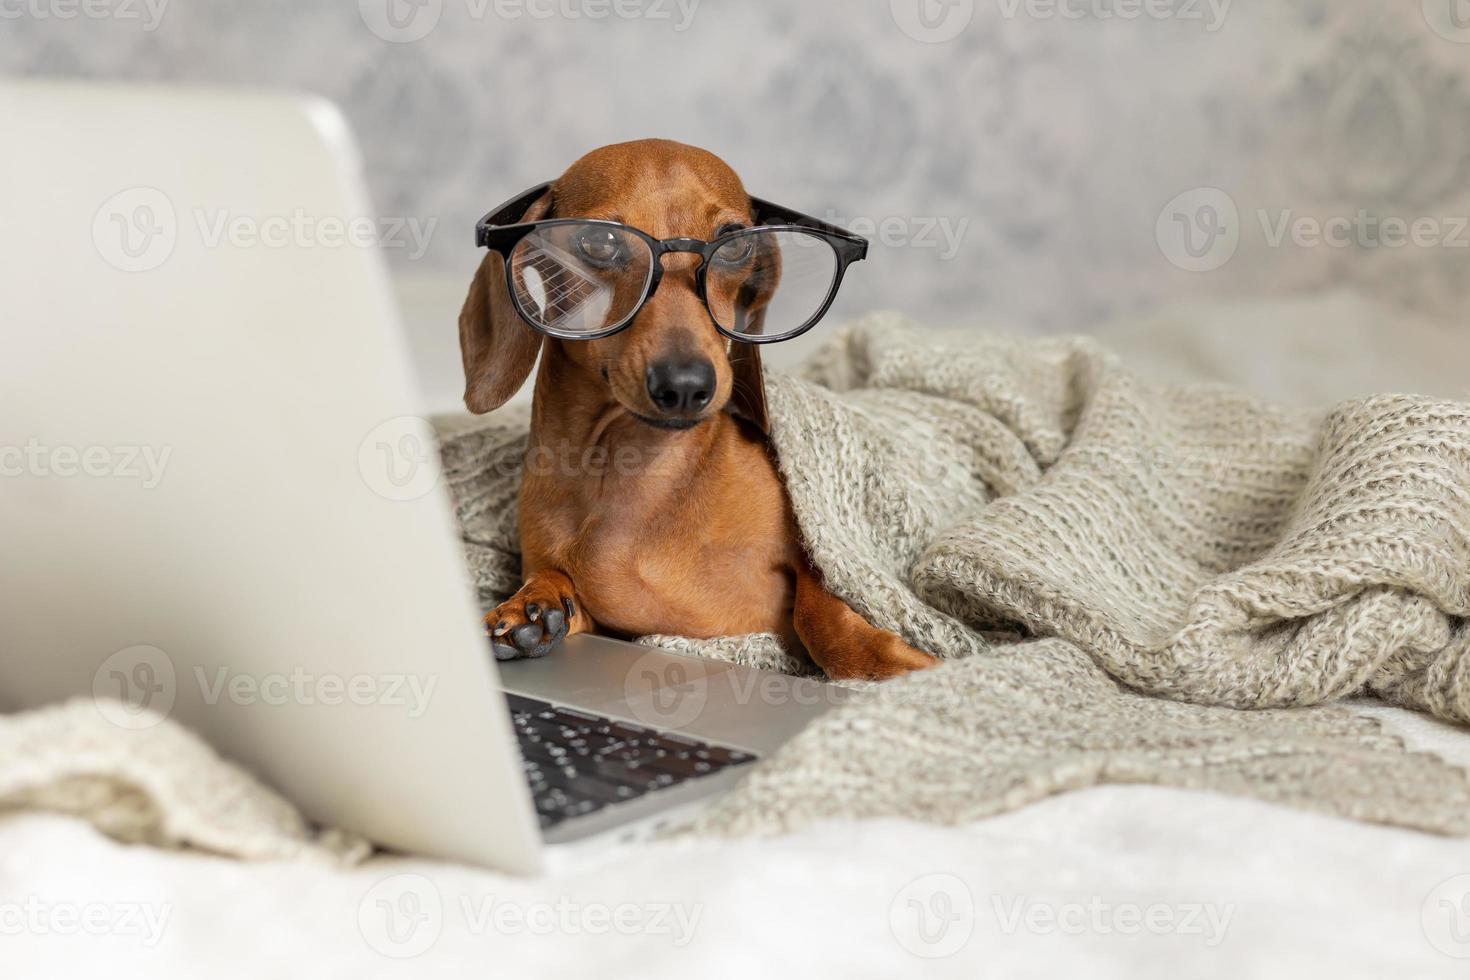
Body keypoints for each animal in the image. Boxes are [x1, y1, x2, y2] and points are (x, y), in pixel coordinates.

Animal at [458, 139, 934, 681]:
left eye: (735, 245)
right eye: (599, 241)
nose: (685, 386)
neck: (628, 474)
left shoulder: (815, 552)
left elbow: (821, 611)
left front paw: (898, 666)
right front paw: (531, 605)